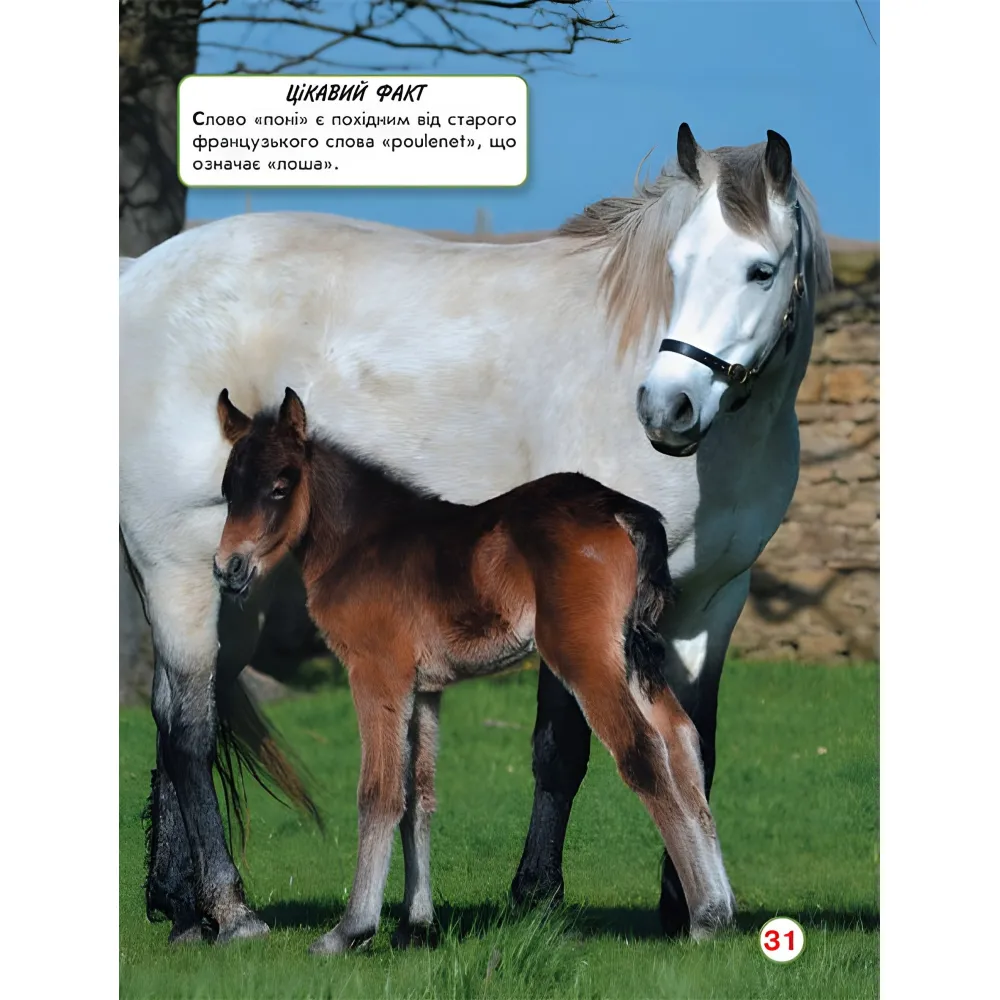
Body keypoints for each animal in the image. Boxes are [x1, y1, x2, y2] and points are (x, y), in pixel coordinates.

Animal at [212, 386, 736, 951]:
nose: (228, 569)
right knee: (681, 738)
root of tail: (620, 509)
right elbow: (419, 795)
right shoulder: (424, 688)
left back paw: (705, 918)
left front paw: (351, 929)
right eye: (227, 489)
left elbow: (379, 792)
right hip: (629, 654)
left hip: (583, 655)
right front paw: (416, 926)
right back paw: (722, 907)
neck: (364, 541)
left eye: (280, 485)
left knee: (642, 750)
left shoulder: (376, 673)